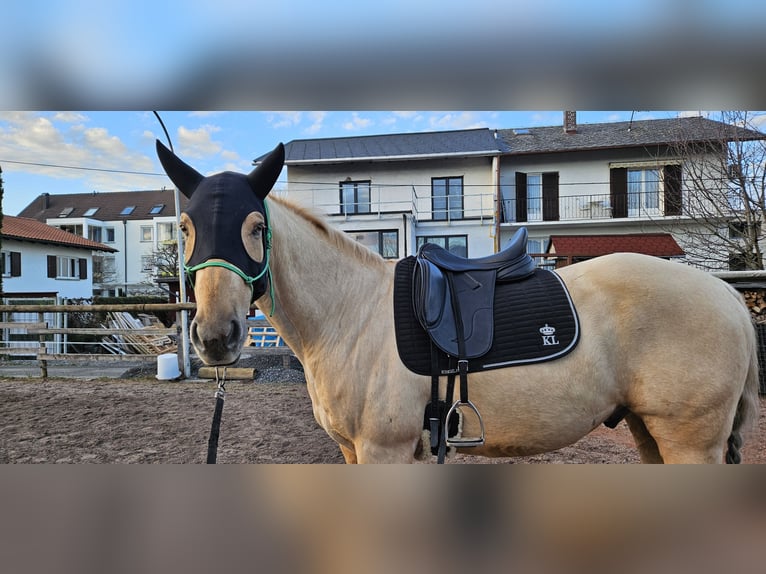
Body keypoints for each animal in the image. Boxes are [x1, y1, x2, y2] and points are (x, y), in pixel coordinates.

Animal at [158, 142, 760, 466]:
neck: (349, 315)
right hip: (647, 431)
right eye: (185, 227)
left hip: (689, 441)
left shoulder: (384, 450)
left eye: (255, 227)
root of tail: (728, 295)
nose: (215, 337)